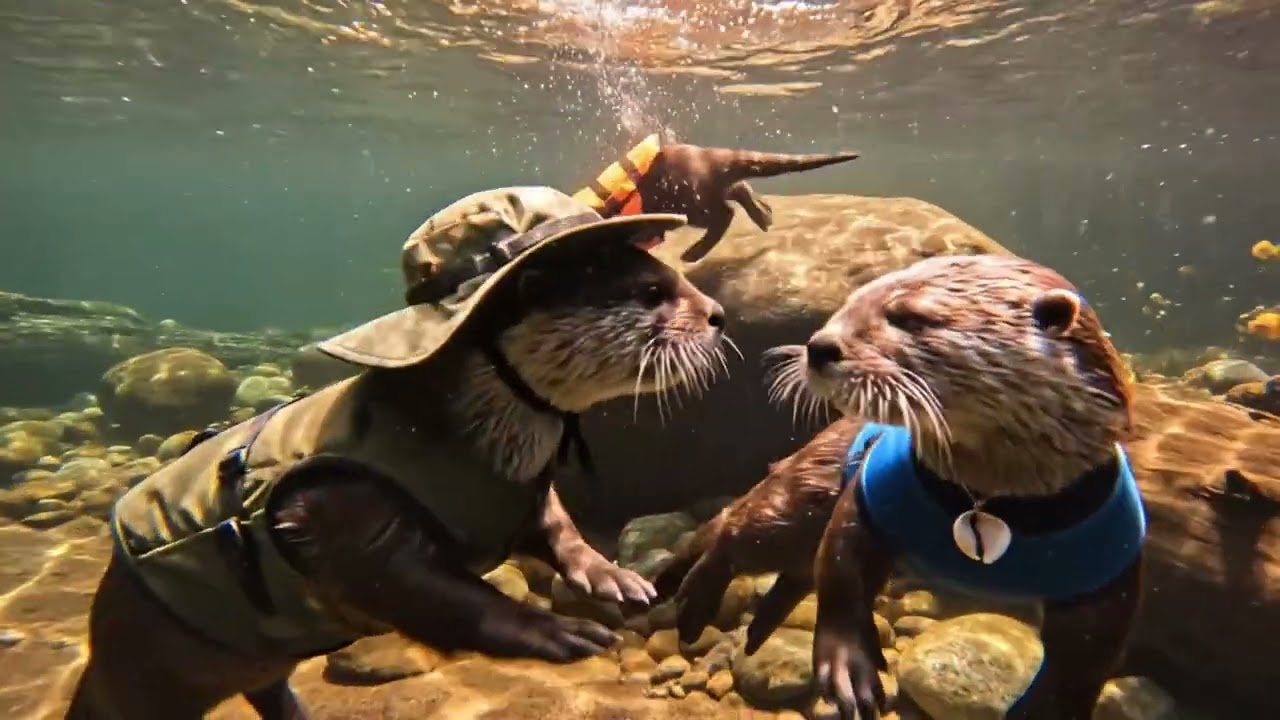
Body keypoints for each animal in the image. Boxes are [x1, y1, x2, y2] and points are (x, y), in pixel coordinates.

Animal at [67, 187, 731, 720]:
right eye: (653, 290)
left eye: (682, 278)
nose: (719, 314)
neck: (457, 434)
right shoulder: (339, 513)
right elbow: (438, 593)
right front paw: (560, 630)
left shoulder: (527, 493)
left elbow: (560, 531)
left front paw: (615, 577)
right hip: (145, 671)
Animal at [655, 254, 1145, 720]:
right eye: (846, 306)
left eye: (909, 316)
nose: (819, 346)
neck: (994, 499)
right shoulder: (875, 489)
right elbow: (842, 568)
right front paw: (849, 667)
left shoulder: (1109, 560)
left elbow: (1088, 654)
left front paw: (1048, 709)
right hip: (799, 498)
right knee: (734, 529)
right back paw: (692, 602)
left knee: (793, 568)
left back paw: (757, 630)